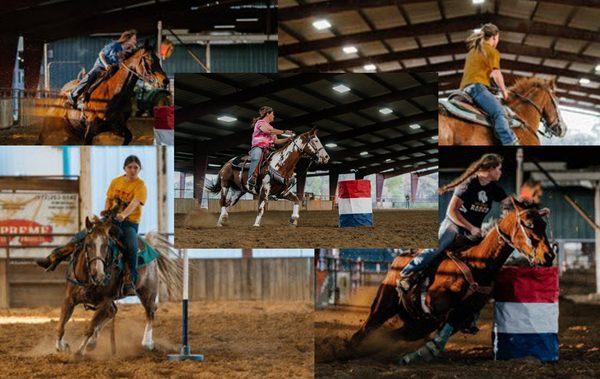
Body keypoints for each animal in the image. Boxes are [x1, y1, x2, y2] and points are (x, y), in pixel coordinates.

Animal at [37, 40, 169, 146]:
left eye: (158, 59)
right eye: (149, 59)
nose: (165, 80)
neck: (113, 94)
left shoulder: (117, 126)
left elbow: (128, 137)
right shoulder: (90, 130)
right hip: (50, 127)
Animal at [54, 212, 180, 358]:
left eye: (106, 245)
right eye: (88, 244)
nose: (99, 275)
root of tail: (150, 245)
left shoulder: (105, 301)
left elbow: (90, 328)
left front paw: (78, 353)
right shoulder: (69, 299)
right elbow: (61, 325)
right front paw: (61, 346)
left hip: (147, 291)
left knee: (150, 311)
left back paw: (147, 343)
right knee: (112, 312)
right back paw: (92, 343)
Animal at [350, 196, 556, 366]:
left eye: (544, 225)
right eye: (528, 224)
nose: (549, 256)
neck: (476, 263)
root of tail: (399, 259)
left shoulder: (462, 315)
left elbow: (443, 335)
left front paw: (416, 355)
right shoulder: (435, 308)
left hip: (414, 322)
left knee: (395, 334)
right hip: (383, 306)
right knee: (365, 330)